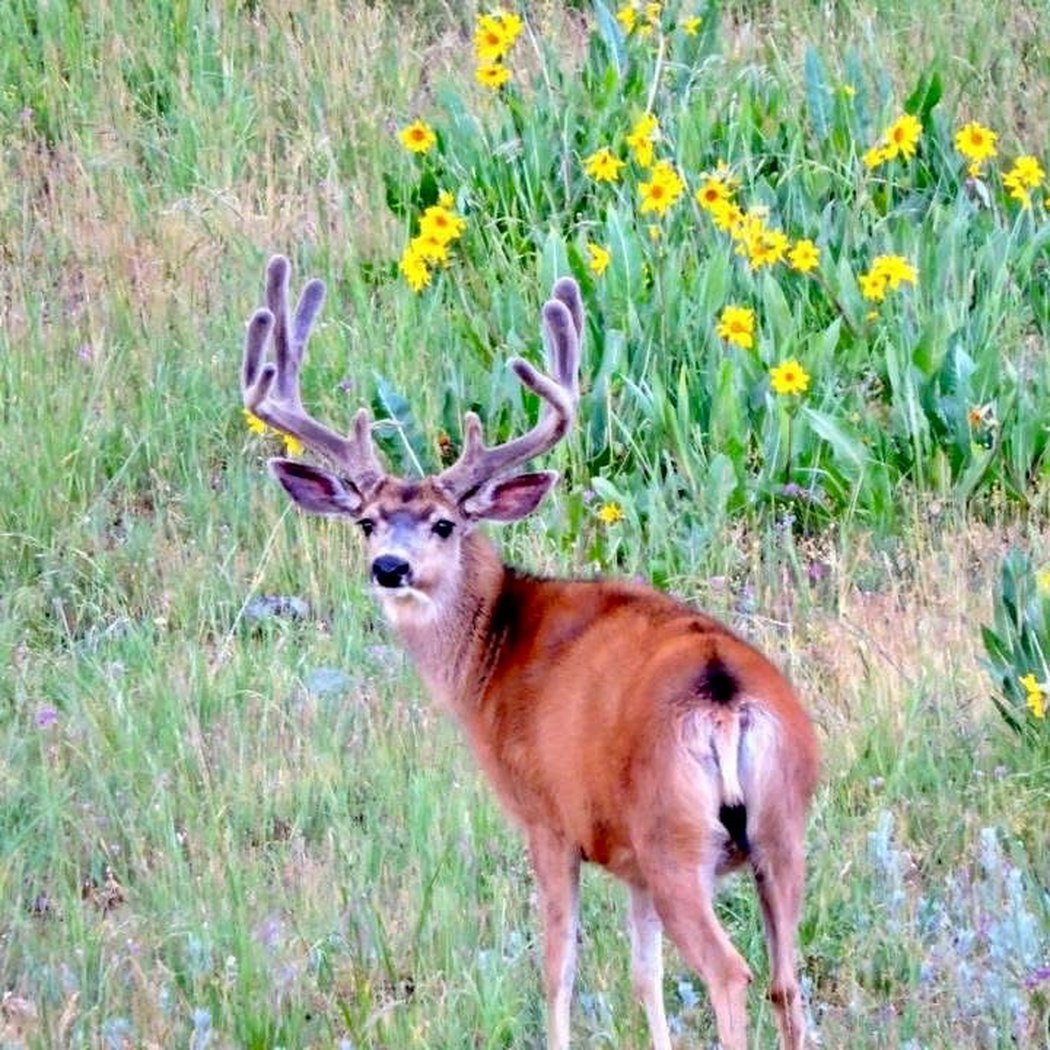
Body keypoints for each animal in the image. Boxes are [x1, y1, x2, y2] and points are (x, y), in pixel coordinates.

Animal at [240, 254, 821, 1050]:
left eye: (445, 523)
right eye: (365, 522)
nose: (389, 567)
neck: (494, 651)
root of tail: (724, 698)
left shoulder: (547, 818)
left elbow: (559, 970)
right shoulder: (628, 857)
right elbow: (644, 977)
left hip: (676, 838)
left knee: (730, 974)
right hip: (780, 829)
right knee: (787, 983)